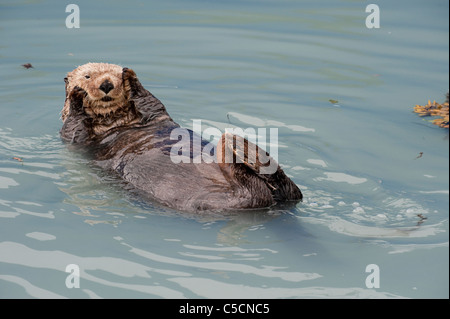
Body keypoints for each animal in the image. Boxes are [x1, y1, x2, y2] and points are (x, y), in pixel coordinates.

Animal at [60, 63, 302, 212]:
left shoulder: (155, 114)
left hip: (279, 194)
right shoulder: (77, 140)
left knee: (289, 190)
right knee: (254, 192)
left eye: (115, 73)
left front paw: (131, 77)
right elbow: (74, 128)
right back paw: (239, 147)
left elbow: (150, 100)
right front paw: (76, 96)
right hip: (218, 201)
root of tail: (273, 202)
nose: (107, 84)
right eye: (87, 76)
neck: (117, 121)